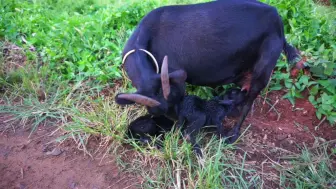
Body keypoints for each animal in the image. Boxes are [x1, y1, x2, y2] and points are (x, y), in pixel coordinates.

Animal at [115, 0, 304, 145]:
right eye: (156, 113)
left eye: (178, 96)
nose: (176, 127)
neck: (141, 43)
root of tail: (277, 17)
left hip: (264, 67)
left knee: (249, 101)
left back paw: (234, 133)